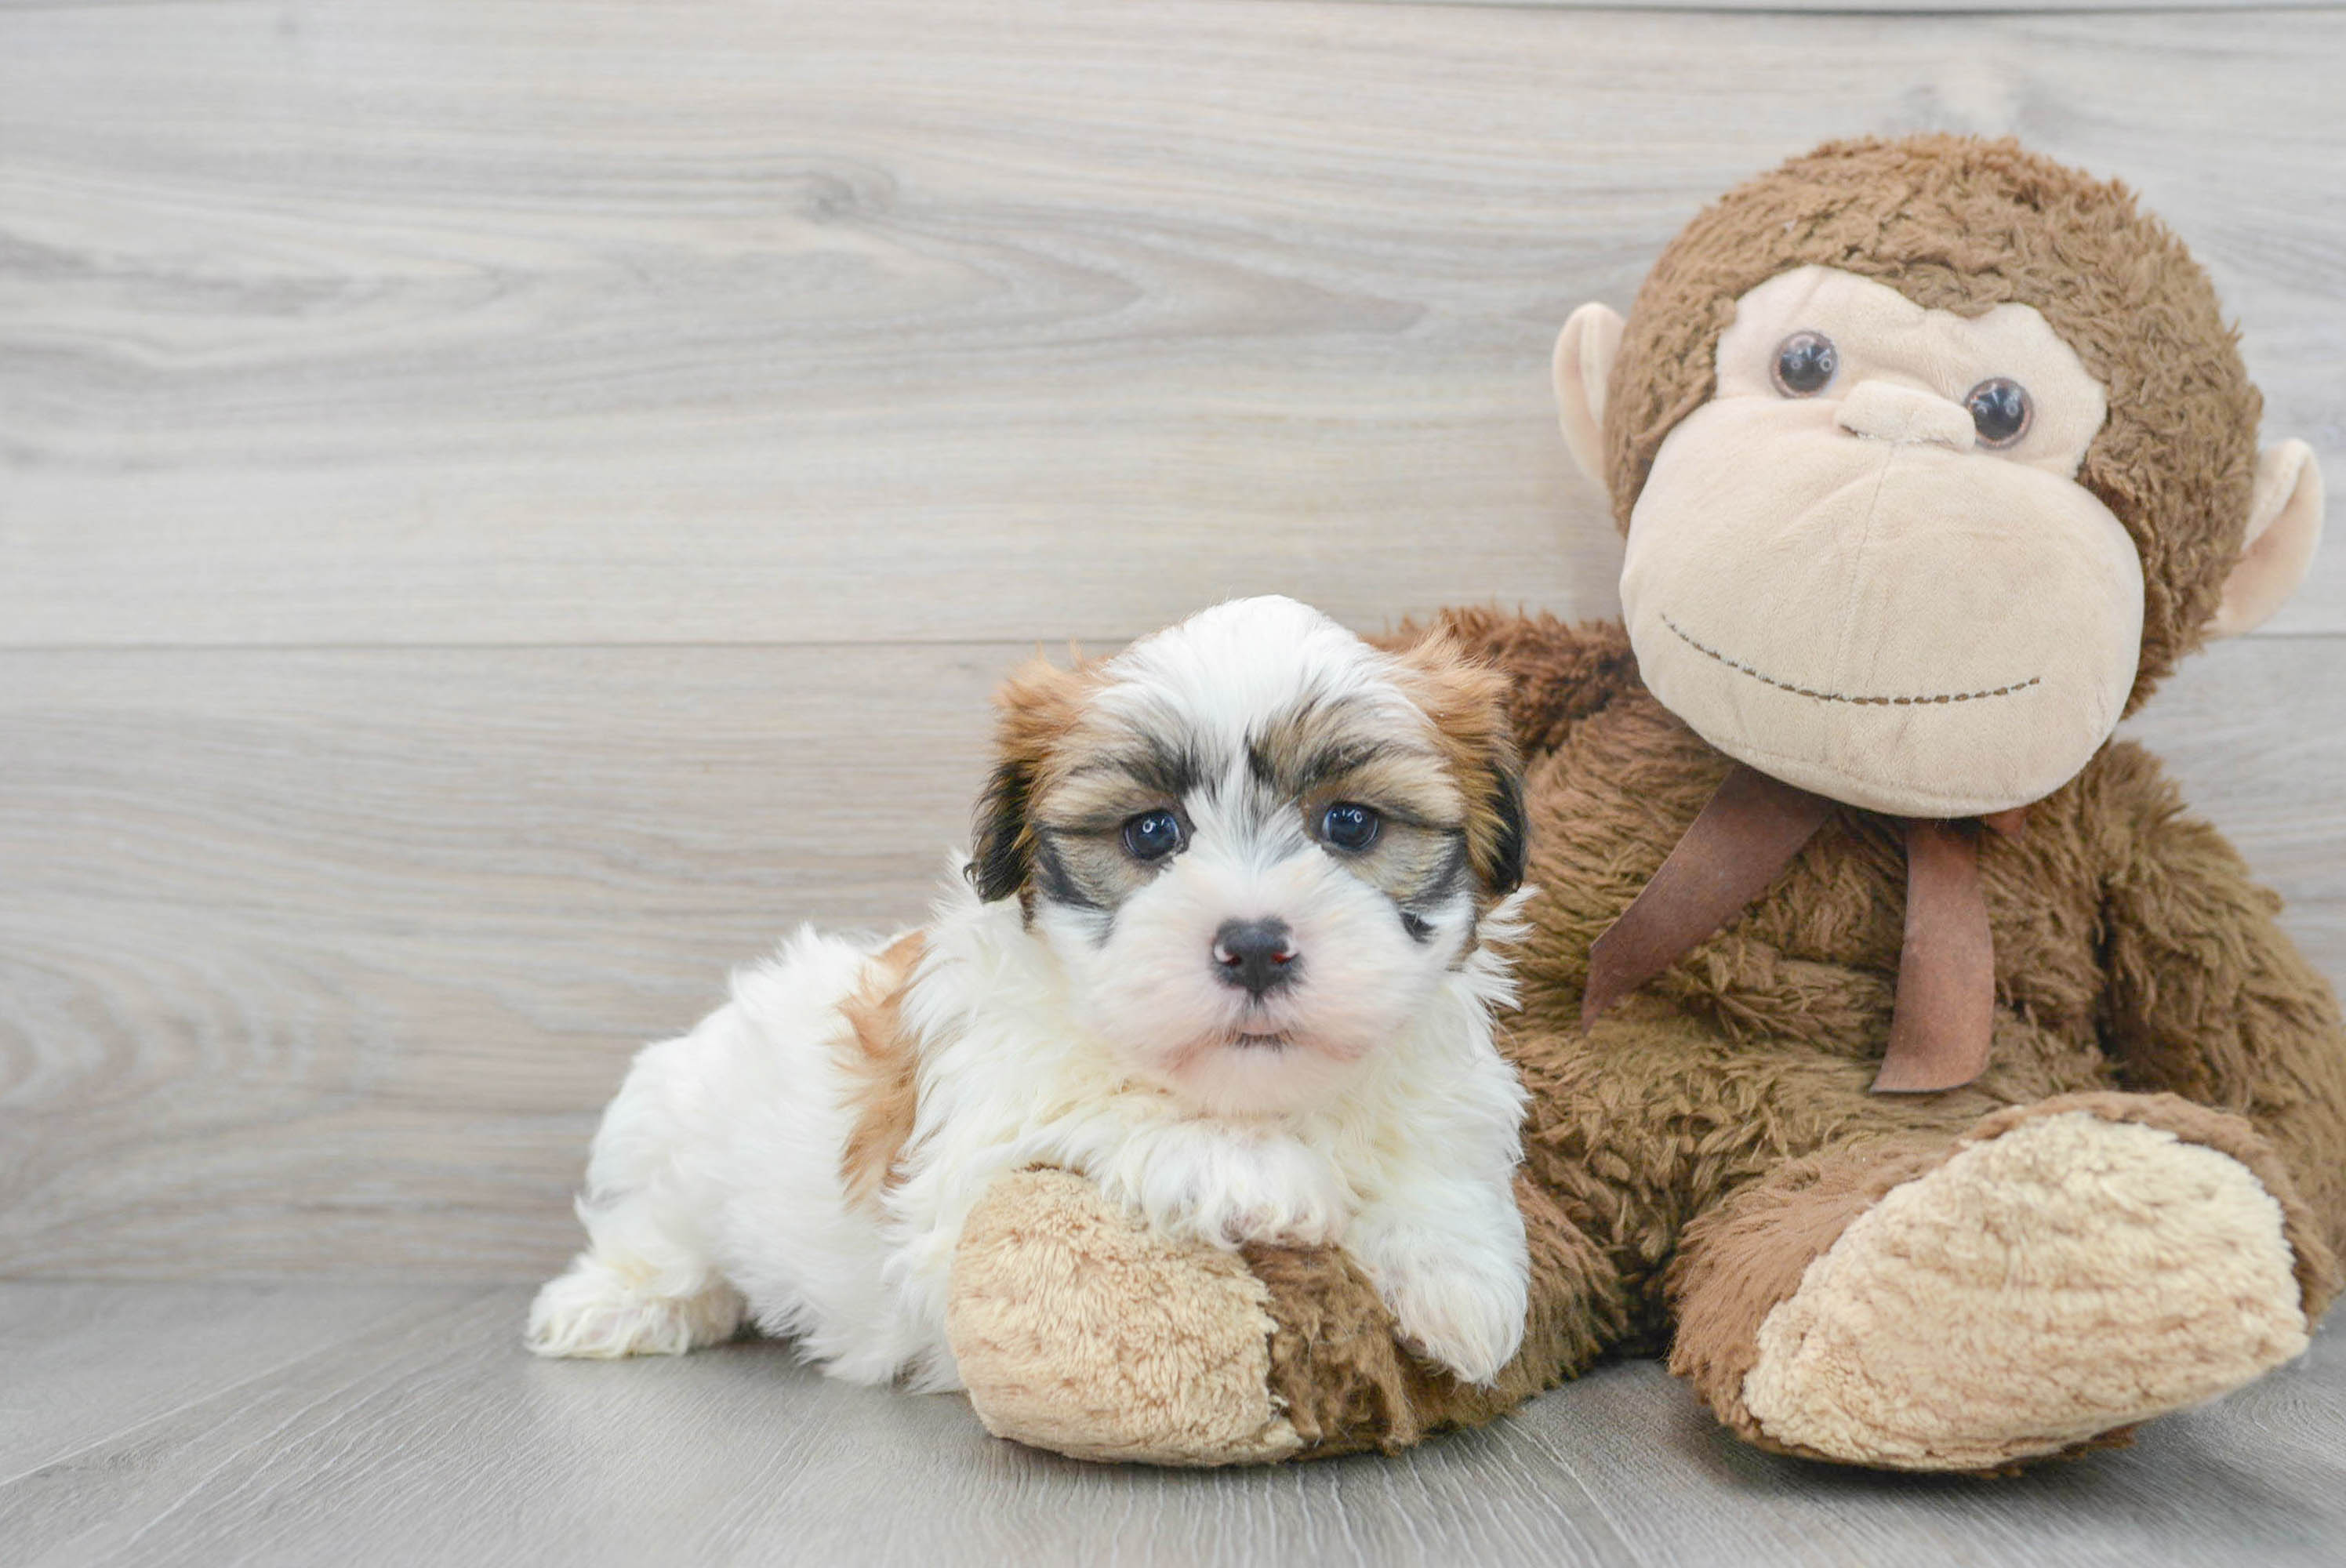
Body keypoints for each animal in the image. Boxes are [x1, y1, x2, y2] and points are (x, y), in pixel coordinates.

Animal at [523, 596, 1529, 1380]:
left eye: (1350, 823)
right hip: (671, 1144)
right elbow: (1094, 1114)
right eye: (1152, 832)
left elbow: (1433, 1169)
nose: (1251, 946)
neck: (1251, 1095)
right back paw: (611, 1304)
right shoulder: (957, 1187)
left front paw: (1457, 1277)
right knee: (658, 1237)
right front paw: (1253, 1171)